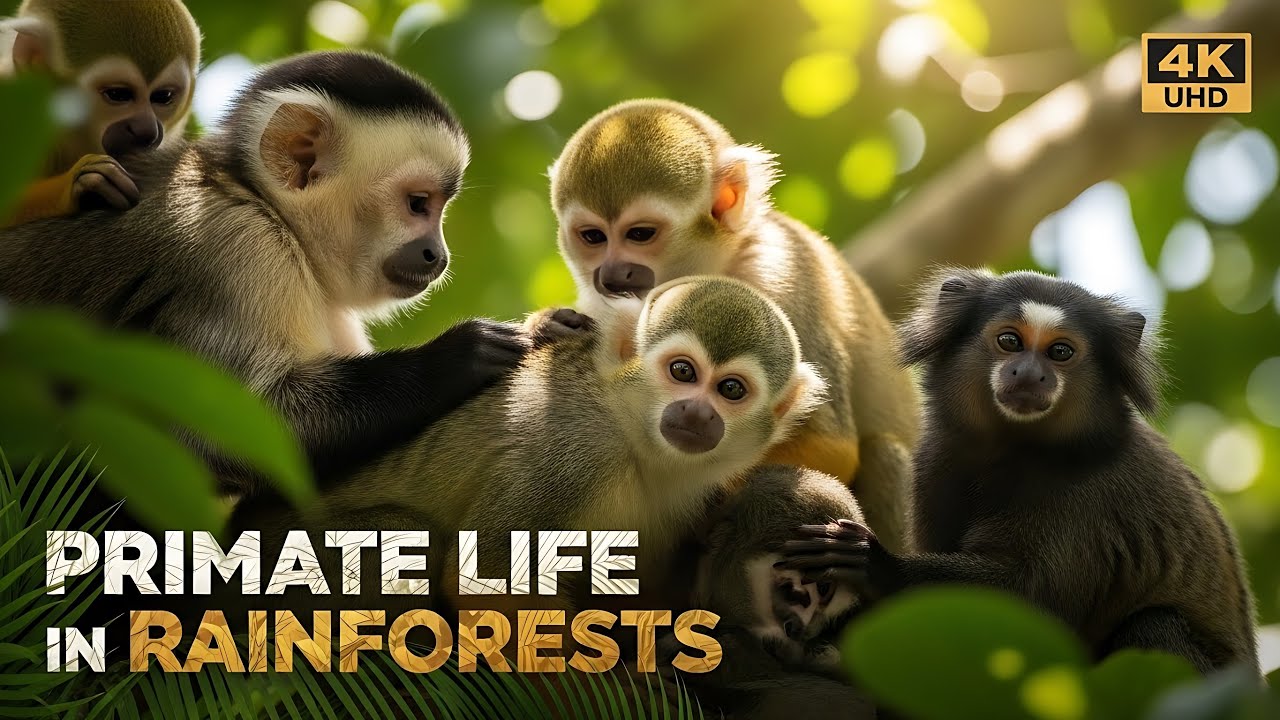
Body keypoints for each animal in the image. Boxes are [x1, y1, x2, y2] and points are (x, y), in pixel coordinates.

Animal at [0, 50, 529, 489]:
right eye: (418, 204)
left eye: (439, 208)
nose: (438, 255)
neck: (262, 203)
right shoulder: (236, 247)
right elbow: (240, 431)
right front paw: (459, 354)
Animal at [548, 99, 919, 553]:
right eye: (593, 237)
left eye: (640, 234)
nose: (613, 274)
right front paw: (550, 325)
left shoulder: (780, 273)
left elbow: (834, 449)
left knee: (884, 454)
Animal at [778, 267, 1260, 677]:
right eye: (1010, 341)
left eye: (1060, 351)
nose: (1030, 373)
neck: (1014, 451)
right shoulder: (935, 464)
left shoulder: (1089, 498)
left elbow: (1030, 604)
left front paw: (876, 563)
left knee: (1155, 625)